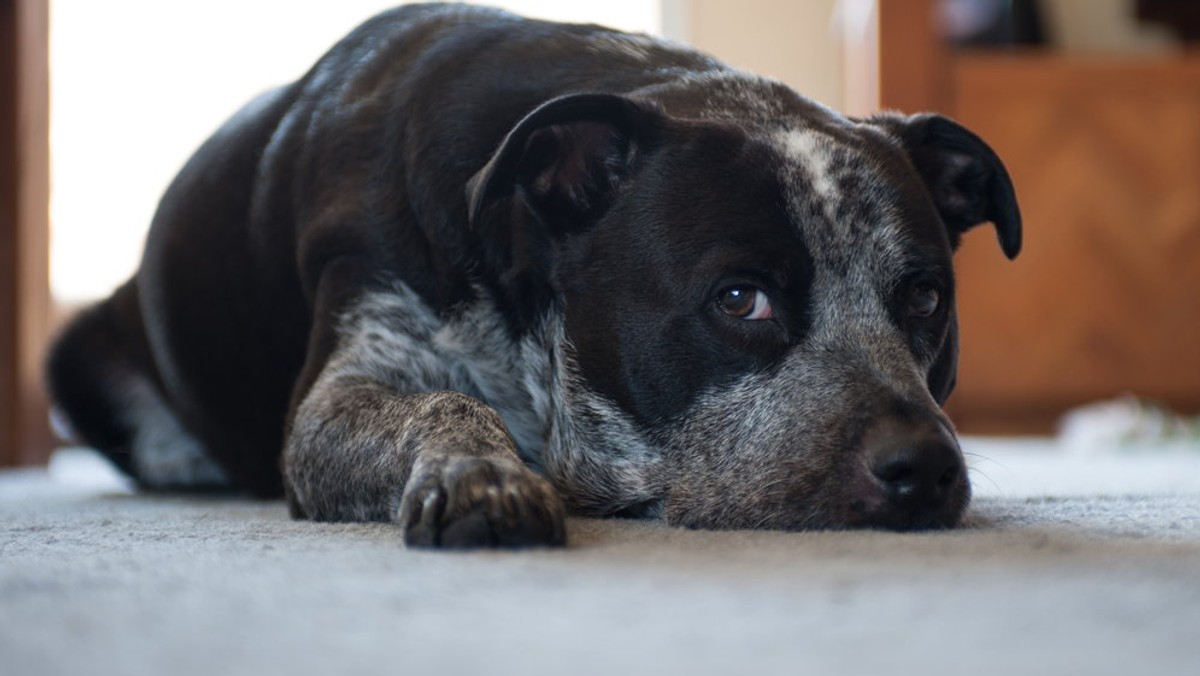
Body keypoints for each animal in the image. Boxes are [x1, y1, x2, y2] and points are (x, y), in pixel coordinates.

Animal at [46, 3, 1022, 549]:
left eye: (924, 299)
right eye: (741, 300)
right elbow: (442, 403)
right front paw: (484, 477)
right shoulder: (337, 395)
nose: (925, 468)